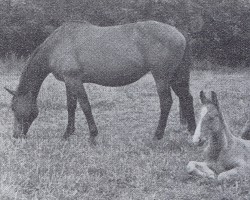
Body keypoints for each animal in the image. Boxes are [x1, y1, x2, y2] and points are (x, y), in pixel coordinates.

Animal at [4, 20, 195, 144]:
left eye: (13, 108)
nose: (16, 135)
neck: (57, 45)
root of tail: (179, 33)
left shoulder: (74, 80)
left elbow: (85, 105)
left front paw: (92, 135)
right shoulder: (68, 81)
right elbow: (71, 106)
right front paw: (67, 134)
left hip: (161, 77)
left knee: (166, 102)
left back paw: (157, 135)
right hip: (176, 77)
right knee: (187, 98)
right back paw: (193, 132)